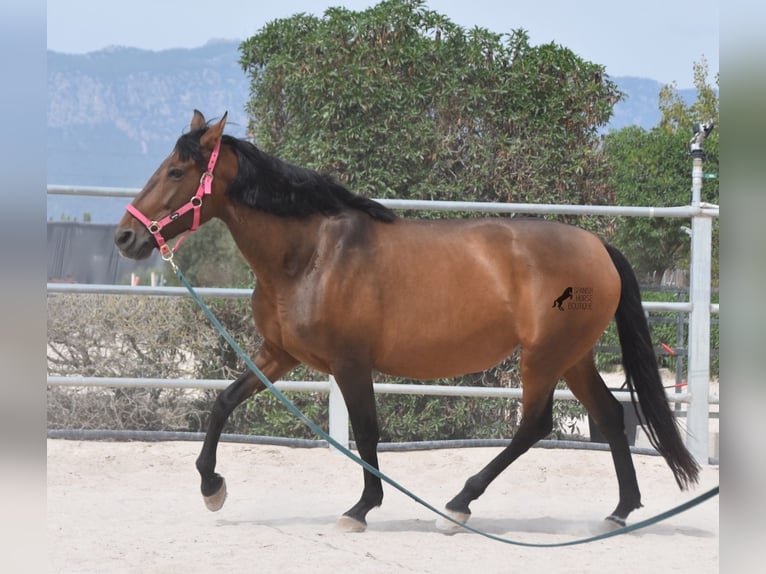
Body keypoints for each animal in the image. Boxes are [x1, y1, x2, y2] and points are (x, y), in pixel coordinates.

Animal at [115, 110, 704, 532]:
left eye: (176, 171)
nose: (125, 236)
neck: (311, 255)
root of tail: (598, 247)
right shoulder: (276, 354)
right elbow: (223, 402)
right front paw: (211, 488)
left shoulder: (351, 363)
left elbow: (367, 432)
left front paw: (361, 508)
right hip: (574, 357)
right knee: (609, 416)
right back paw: (620, 510)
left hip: (544, 357)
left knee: (535, 426)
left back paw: (461, 503)